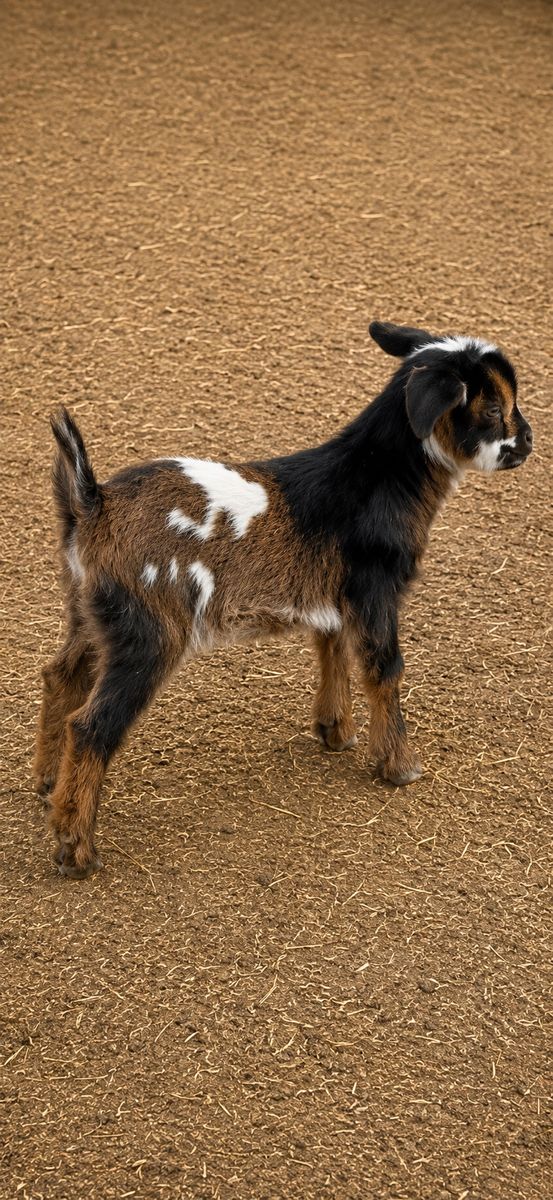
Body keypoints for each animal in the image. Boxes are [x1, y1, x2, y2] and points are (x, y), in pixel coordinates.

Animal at [35, 320, 533, 878]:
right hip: (148, 633)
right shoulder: (375, 591)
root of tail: (93, 503)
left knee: (61, 676)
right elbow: (385, 669)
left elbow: (332, 650)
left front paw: (336, 732)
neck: (376, 481)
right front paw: (400, 766)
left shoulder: (334, 599)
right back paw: (76, 849)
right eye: (493, 408)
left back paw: (48, 787)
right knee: (92, 726)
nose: (528, 440)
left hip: (88, 613)